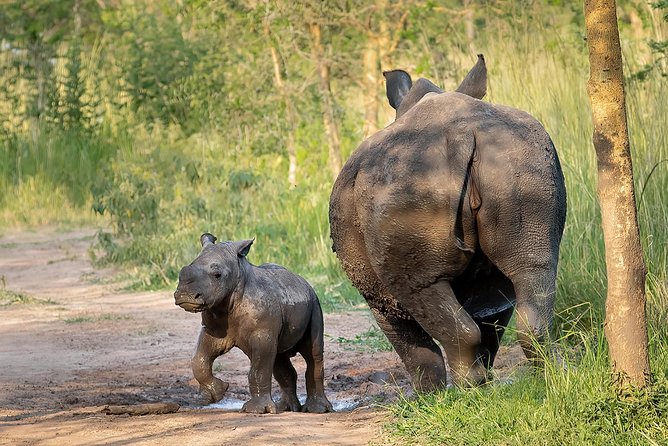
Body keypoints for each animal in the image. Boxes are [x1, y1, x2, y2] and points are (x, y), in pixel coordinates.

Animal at [174, 233, 333, 414]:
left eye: (217, 275)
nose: (185, 296)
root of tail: (304, 281)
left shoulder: (261, 333)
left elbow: (258, 369)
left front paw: (255, 410)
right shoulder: (212, 329)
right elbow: (199, 358)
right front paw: (216, 393)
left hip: (315, 303)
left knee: (312, 354)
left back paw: (316, 410)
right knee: (279, 358)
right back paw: (285, 408)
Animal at [329, 55, 567, 389]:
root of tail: (461, 135)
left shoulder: (377, 298)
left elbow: (409, 342)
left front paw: (430, 394)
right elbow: (491, 320)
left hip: (406, 180)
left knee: (421, 288)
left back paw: (465, 388)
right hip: (520, 159)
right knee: (534, 268)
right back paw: (552, 375)